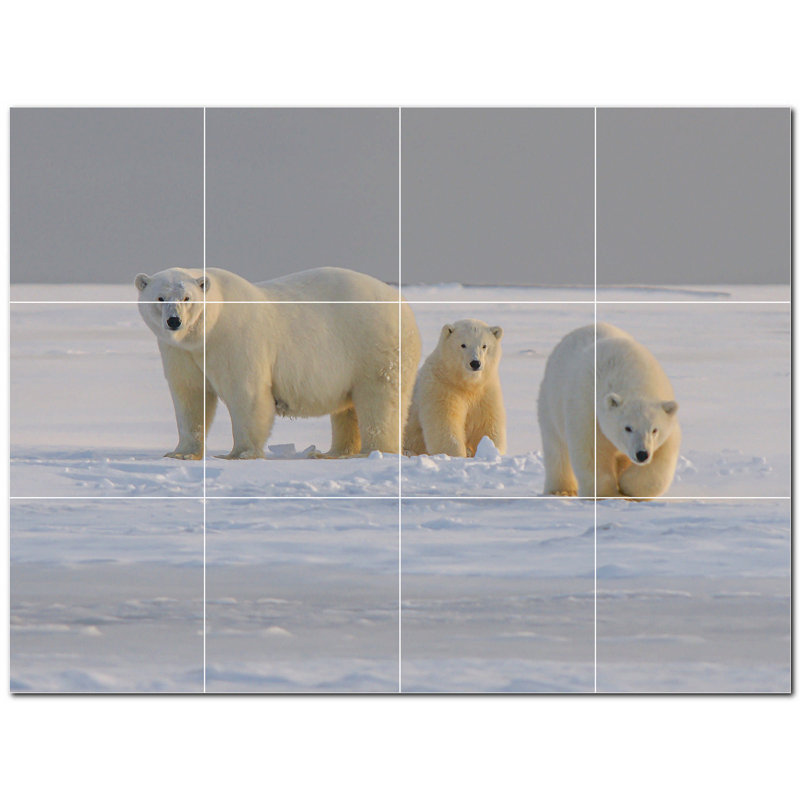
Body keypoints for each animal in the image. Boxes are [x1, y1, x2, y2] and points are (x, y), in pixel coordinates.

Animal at [135, 266, 422, 459]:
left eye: (187, 298)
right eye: (160, 298)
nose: (174, 321)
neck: (208, 330)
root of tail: (403, 303)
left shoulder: (236, 339)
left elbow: (246, 394)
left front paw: (239, 453)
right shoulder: (180, 351)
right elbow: (190, 395)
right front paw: (181, 453)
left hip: (374, 346)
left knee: (380, 400)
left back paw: (374, 451)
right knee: (347, 409)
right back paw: (334, 452)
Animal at [403, 319, 506, 458]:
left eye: (484, 346)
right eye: (463, 345)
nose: (475, 363)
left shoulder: (485, 390)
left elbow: (487, 424)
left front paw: (492, 450)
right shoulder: (442, 387)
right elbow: (445, 424)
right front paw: (456, 455)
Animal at [537, 323, 680, 498]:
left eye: (655, 429)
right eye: (627, 428)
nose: (642, 454)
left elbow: (663, 456)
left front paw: (627, 486)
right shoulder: (587, 409)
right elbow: (592, 451)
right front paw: (608, 493)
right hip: (550, 403)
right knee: (556, 448)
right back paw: (561, 490)